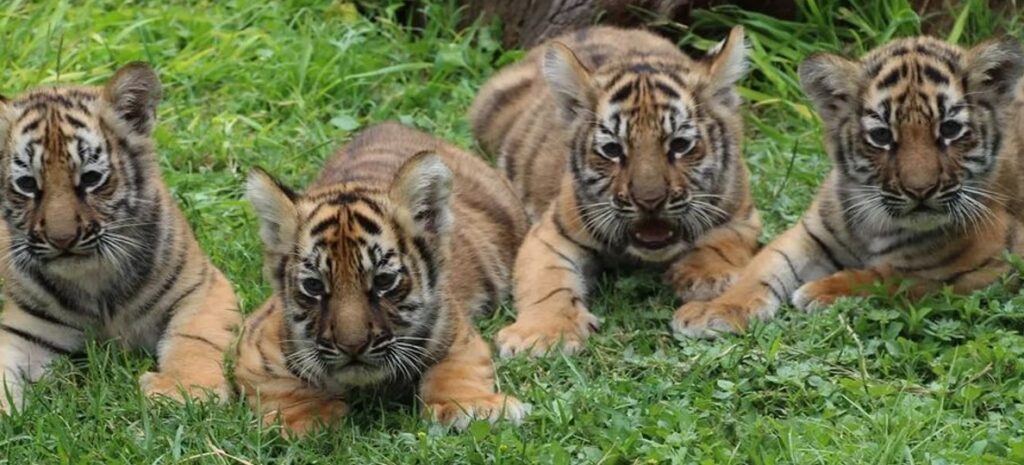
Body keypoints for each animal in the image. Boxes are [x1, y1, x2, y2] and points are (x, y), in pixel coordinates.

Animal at [0, 63, 241, 412]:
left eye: (91, 178)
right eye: (27, 184)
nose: (62, 240)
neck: (93, 280)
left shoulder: (203, 287)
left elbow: (195, 338)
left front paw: (183, 390)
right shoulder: (25, 327)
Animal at [234, 122, 531, 435]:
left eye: (383, 281)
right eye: (313, 286)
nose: (352, 347)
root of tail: (389, 124)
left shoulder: (458, 335)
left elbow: (455, 369)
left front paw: (475, 406)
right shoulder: (256, 344)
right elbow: (283, 384)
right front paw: (308, 418)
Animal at [469, 26, 762, 356]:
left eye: (680, 145)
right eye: (612, 150)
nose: (650, 201)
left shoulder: (742, 215)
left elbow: (721, 242)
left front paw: (704, 277)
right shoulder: (551, 232)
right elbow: (546, 280)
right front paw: (542, 333)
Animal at [673, 36, 1024, 338]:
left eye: (950, 130)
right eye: (881, 136)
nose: (920, 191)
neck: (877, 223)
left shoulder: (987, 262)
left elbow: (895, 276)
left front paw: (820, 290)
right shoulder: (809, 234)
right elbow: (760, 269)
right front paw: (715, 310)